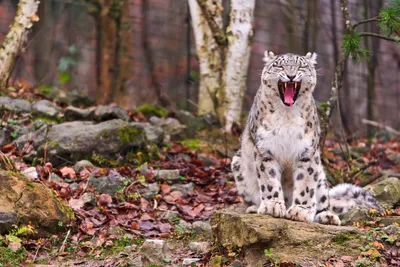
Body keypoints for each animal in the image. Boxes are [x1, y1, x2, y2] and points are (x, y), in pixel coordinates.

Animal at [233, 51, 382, 225]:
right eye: (279, 65)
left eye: (301, 66)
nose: (291, 75)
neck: (287, 114)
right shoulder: (265, 149)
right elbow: (269, 179)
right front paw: (272, 206)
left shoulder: (307, 151)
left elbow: (305, 182)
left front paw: (301, 211)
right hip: (238, 164)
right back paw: (255, 207)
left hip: (322, 178)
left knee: (324, 202)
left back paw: (327, 216)